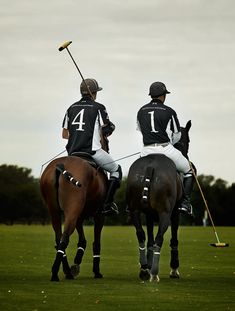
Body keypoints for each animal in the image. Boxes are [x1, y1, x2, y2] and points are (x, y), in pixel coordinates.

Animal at [126, 120, 191, 284]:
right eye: (188, 140)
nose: (187, 157)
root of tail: (151, 166)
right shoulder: (175, 214)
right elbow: (173, 239)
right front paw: (174, 269)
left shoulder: (149, 214)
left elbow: (149, 239)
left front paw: (147, 266)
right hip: (165, 213)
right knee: (160, 237)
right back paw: (154, 274)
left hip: (135, 210)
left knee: (141, 235)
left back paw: (144, 270)